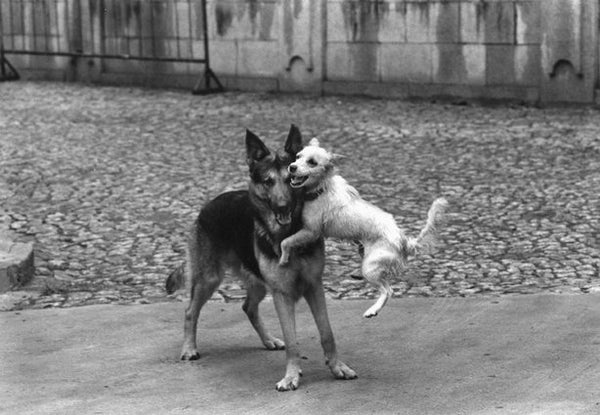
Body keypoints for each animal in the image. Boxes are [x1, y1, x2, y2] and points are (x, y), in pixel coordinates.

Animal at [280, 140, 446, 318]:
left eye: (312, 162)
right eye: (298, 157)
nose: (292, 167)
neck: (322, 189)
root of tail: (404, 241)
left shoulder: (311, 232)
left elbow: (285, 242)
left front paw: (283, 260)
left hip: (370, 267)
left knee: (388, 291)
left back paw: (372, 310)